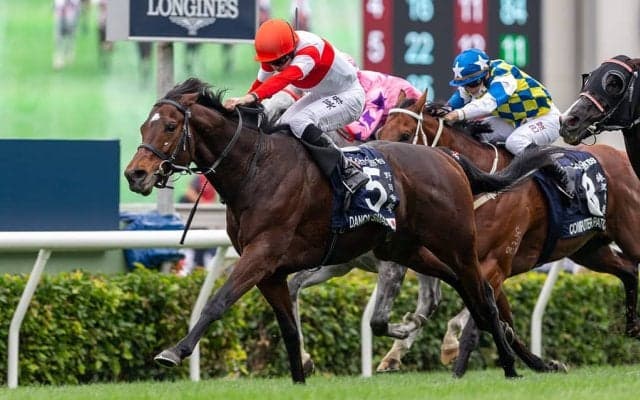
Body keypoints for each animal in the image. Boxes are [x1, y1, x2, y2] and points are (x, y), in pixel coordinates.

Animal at [124, 77, 559, 382]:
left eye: (168, 126)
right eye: (144, 126)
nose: (135, 174)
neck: (256, 168)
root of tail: (449, 157)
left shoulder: (262, 253)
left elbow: (218, 301)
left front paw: (174, 352)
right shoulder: (278, 269)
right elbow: (289, 326)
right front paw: (302, 370)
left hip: (456, 244)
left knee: (481, 296)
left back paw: (506, 362)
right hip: (412, 251)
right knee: (472, 294)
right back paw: (517, 359)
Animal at [377, 90, 640, 377]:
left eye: (405, 135)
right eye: (380, 131)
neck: (479, 185)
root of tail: (623, 157)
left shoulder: (495, 263)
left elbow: (481, 319)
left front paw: (459, 367)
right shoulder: (474, 266)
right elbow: (504, 322)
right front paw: (543, 364)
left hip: (630, 233)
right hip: (589, 249)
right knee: (628, 271)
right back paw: (632, 327)